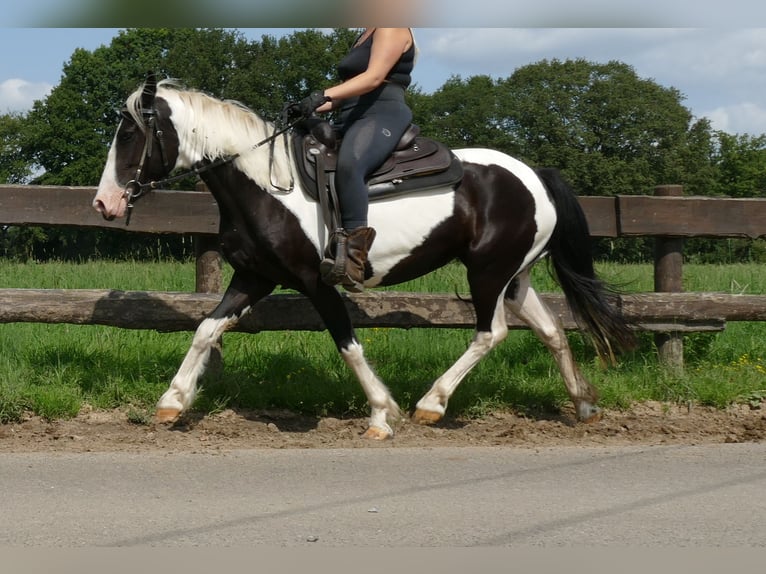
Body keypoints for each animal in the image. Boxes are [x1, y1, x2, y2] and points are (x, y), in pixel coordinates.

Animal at [94, 74, 636, 438]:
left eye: (130, 133)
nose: (104, 203)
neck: (267, 184)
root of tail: (534, 175)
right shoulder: (253, 277)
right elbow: (206, 328)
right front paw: (172, 401)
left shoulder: (316, 281)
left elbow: (348, 344)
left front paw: (381, 412)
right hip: (515, 276)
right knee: (552, 331)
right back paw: (584, 405)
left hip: (488, 272)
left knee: (491, 333)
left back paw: (432, 404)